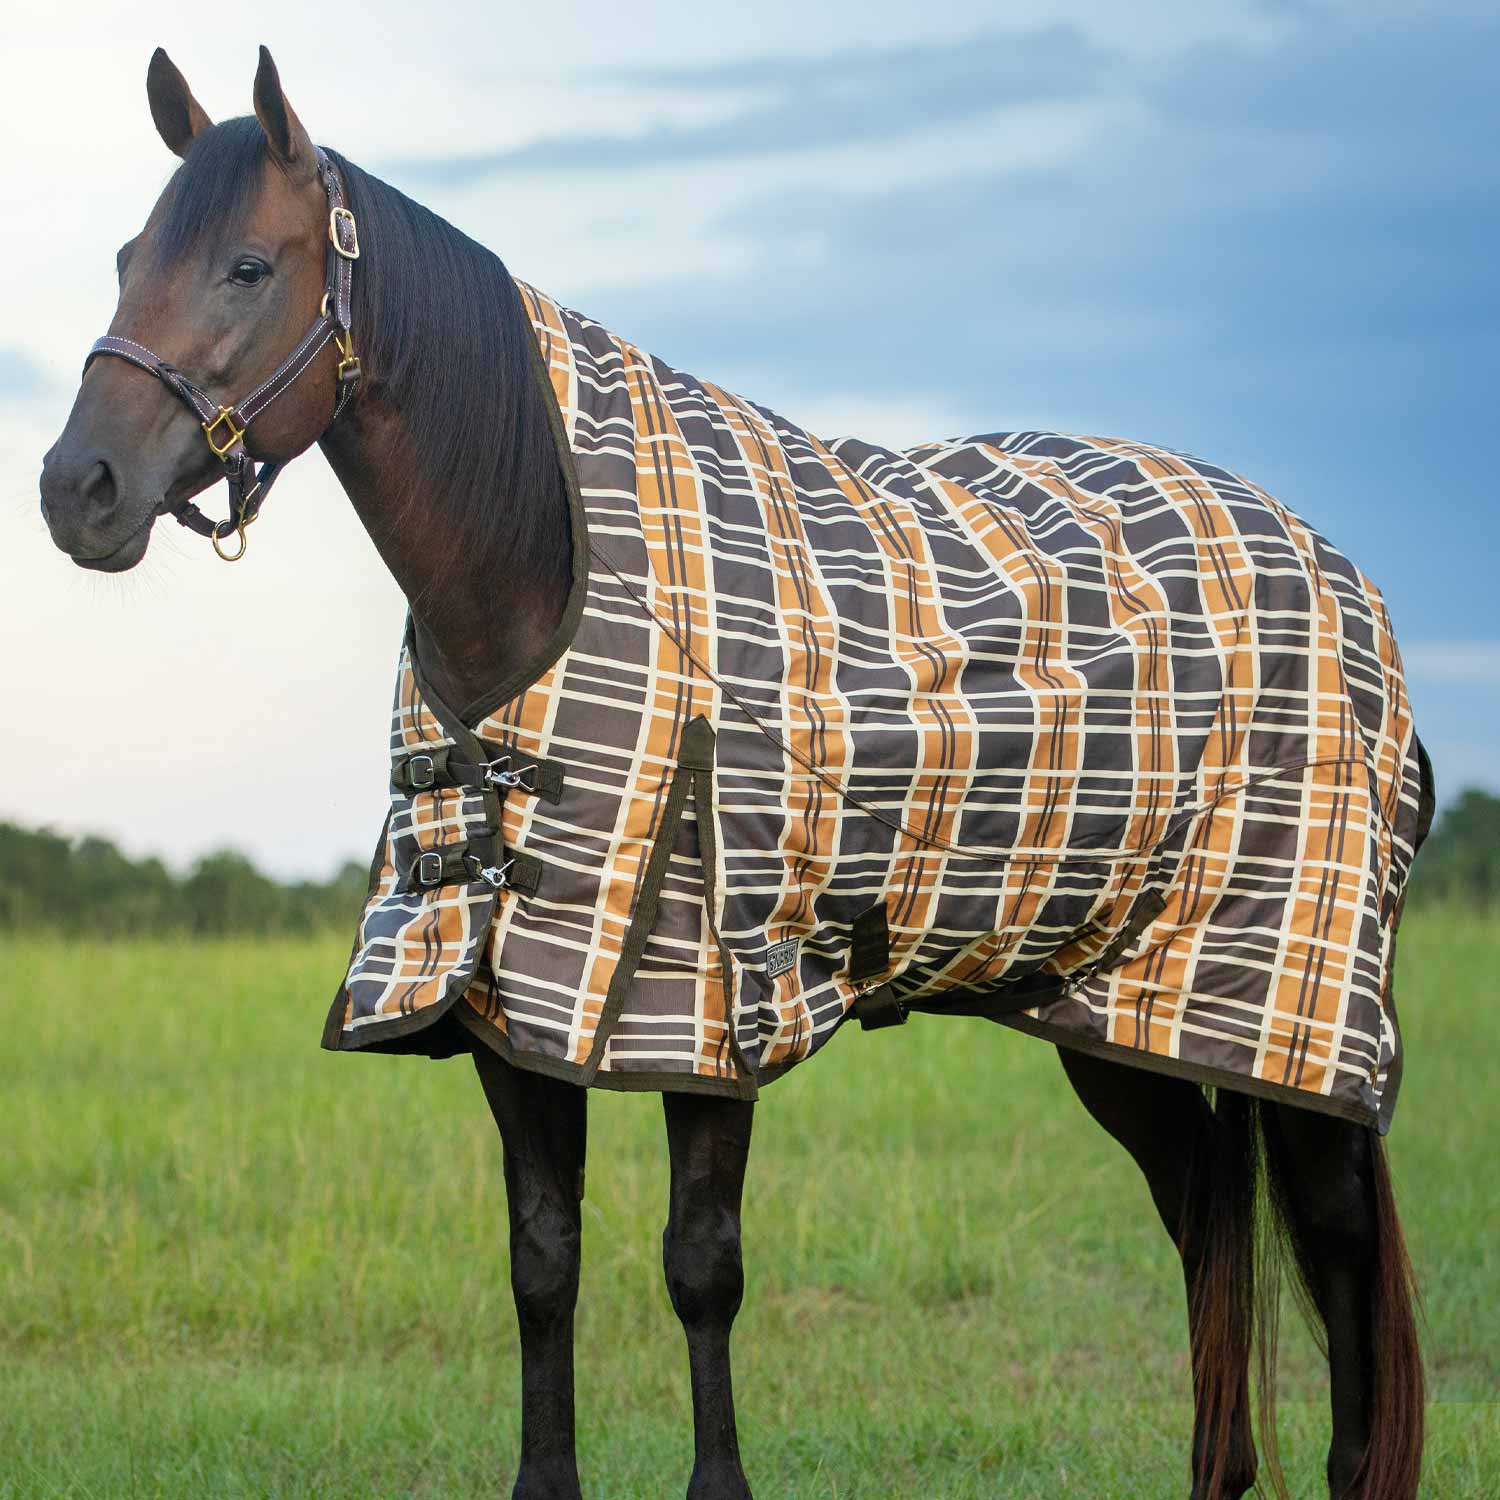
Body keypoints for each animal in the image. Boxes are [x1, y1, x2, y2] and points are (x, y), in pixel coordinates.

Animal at [38, 48, 1430, 1500]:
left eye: (249, 267)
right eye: (130, 254)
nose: (79, 488)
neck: (546, 569)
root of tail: (1332, 563)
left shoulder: (705, 1001)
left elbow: (701, 1267)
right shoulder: (507, 1003)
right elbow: (544, 1262)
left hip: (1293, 1004)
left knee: (1333, 1251)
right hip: (1114, 1013)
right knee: (1207, 1225)